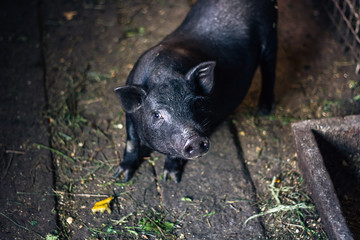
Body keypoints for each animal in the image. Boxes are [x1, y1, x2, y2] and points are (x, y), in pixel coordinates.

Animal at [114, 0, 278, 182]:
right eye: (156, 115)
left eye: (195, 104)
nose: (194, 139)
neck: (162, 74)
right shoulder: (129, 115)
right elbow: (131, 142)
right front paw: (120, 176)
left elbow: (173, 154)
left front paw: (171, 179)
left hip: (271, 34)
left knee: (269, 70)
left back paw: (264, 110)